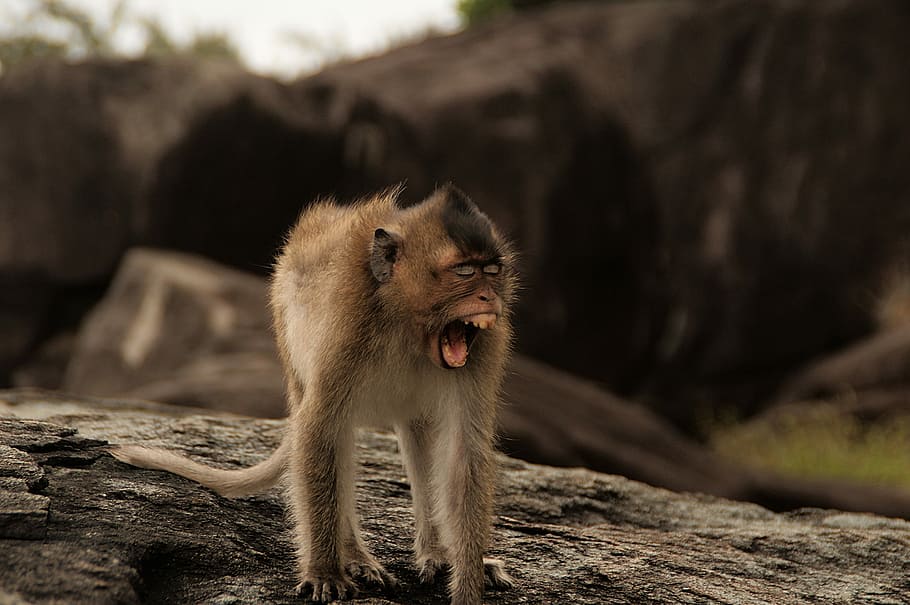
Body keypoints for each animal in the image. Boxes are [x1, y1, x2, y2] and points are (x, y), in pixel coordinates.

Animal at [111, 184, 517, 605]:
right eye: (464, 272)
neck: (407, 319)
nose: (489, 298)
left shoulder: (484, 346)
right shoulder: (349, 326)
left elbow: (463, 453)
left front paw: (468, 579)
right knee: (337, 434)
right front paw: (325, 571)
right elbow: (320, 430)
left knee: (417, 431)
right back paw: (353, 554)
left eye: (492, 271)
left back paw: (437, 552)